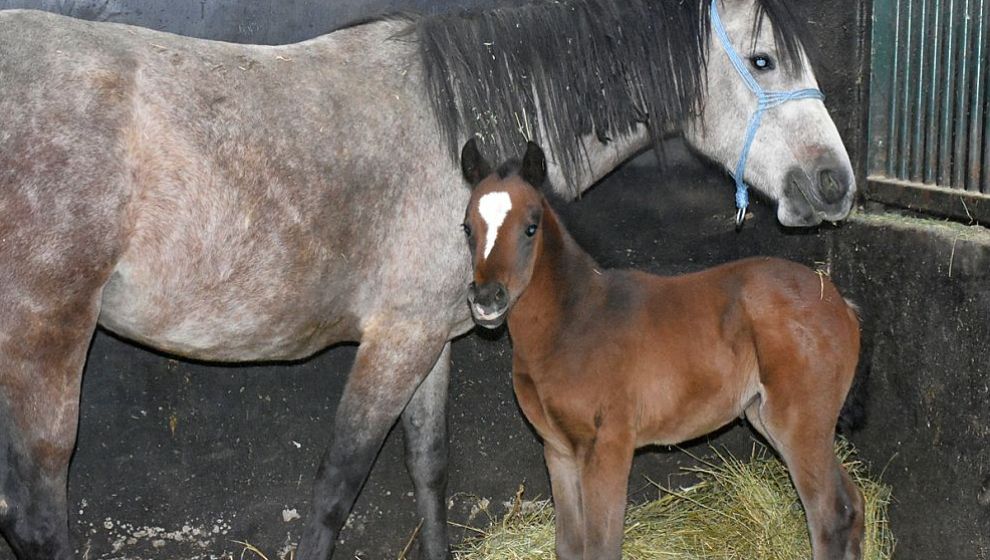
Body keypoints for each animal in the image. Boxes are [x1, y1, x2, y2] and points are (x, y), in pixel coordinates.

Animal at [462, 138, 864, 556]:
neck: (573, 323)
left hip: (799, 421)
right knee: (853, 503)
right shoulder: (557, 450)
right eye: (467, 228)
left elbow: (602, 547)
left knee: (831, 514)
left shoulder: (608, 446)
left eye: (531, 227)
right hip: (772, 418)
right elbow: (570, 547)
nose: (486, 299)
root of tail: (839, 302)